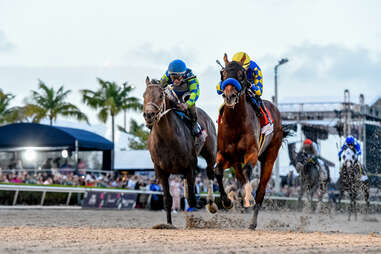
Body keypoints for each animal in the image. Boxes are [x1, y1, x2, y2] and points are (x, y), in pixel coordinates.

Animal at [143, 77, 220, 226]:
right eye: (144, 95)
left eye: (160, 96)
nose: (149, 115)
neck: (167, 139)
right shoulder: (160, 170)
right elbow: (168, 199)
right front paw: (168, 224)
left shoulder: (191, 166)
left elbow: (192, 199)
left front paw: (202, 201)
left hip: (210, 154)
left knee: (210, 173)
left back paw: (214, 203)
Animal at [215, 53, 290, 230]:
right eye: (223, 74)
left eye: (241, 75)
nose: (229, 96)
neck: (235, 123)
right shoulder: (225, 155)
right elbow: (218, 171)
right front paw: (227, 200)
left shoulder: (252, 153)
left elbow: (247, 171)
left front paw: (247, 197)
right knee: (239, 176)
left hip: (270, 157)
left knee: (260, 190)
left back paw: (252, 221)